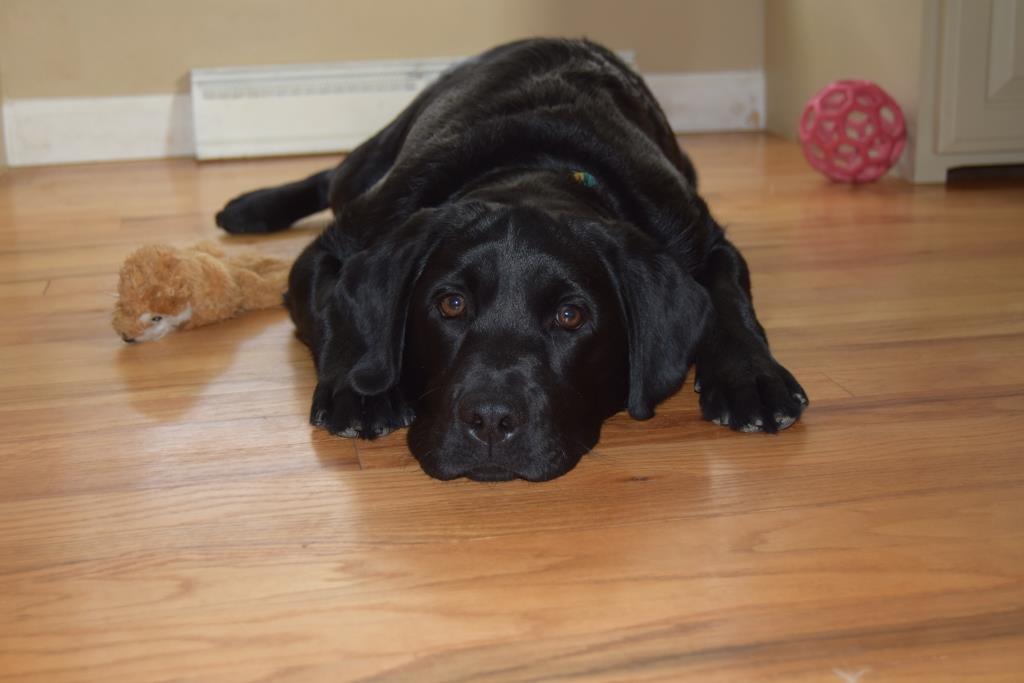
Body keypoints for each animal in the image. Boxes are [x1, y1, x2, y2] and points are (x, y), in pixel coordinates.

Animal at [216, 38, 806, 481]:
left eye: (570, 316)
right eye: (451, 304)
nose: (491, 420)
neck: (536, 166)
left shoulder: (702, 237)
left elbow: (731, 305)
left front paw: (753, 378)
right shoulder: (335, 248)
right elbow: (334, 314)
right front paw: (360, 389)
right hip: (372, 166)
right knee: (330, 173)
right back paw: (249, 207)